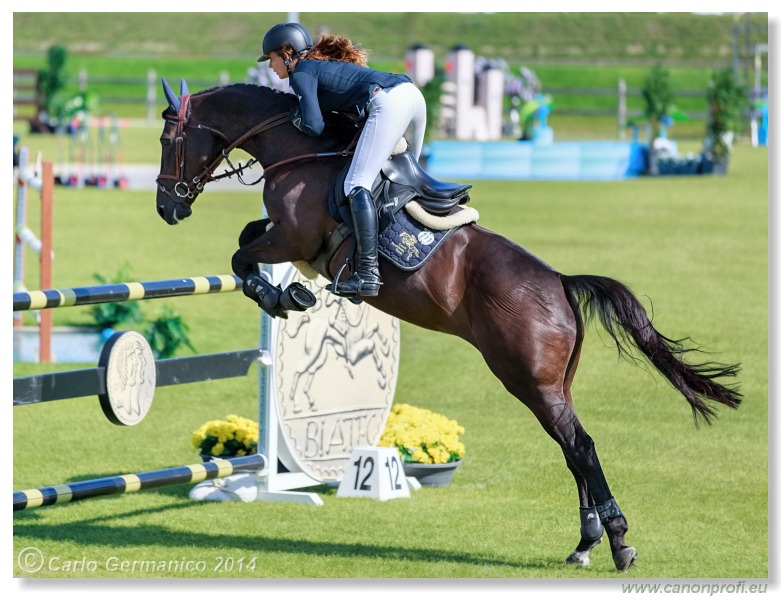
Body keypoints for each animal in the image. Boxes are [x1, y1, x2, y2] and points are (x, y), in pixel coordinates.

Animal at [154, 79, 744, 572]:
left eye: (167, 138)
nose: (166, 207)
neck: (296, 149)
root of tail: (559, 282)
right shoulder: (283, 236)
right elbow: (245, 241)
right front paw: (286, 294)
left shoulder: (291, 237)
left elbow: (241, 254)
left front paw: (284, 295)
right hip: (554, 385)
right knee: (571, 449)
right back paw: (585, 543)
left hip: (528, 380)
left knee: (581, 447)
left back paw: (618, 542)